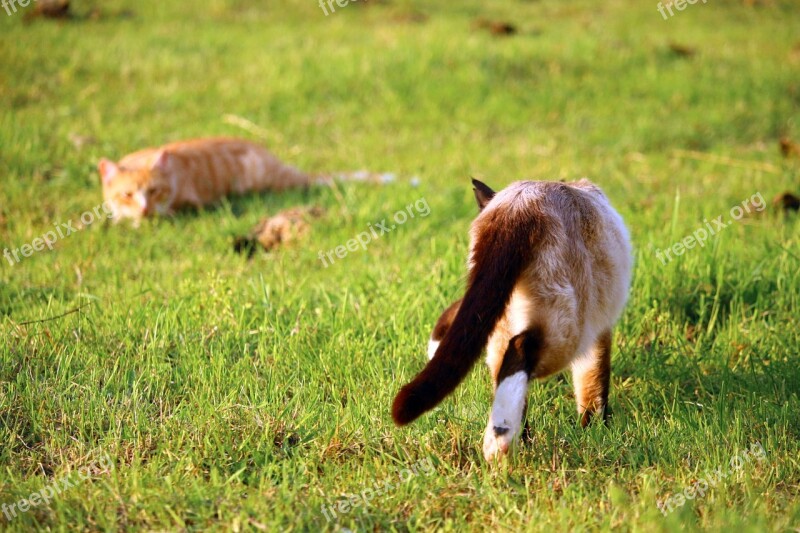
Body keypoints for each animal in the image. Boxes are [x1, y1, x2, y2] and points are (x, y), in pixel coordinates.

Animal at [392, 177, 632, 460]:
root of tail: (517, 207)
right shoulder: (598, 330)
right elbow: (595, 387)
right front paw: (596, 431)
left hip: (499, 321)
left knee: (504, 370)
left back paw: (516, 442)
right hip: (567, 331)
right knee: (521, 349)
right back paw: (500, 441)